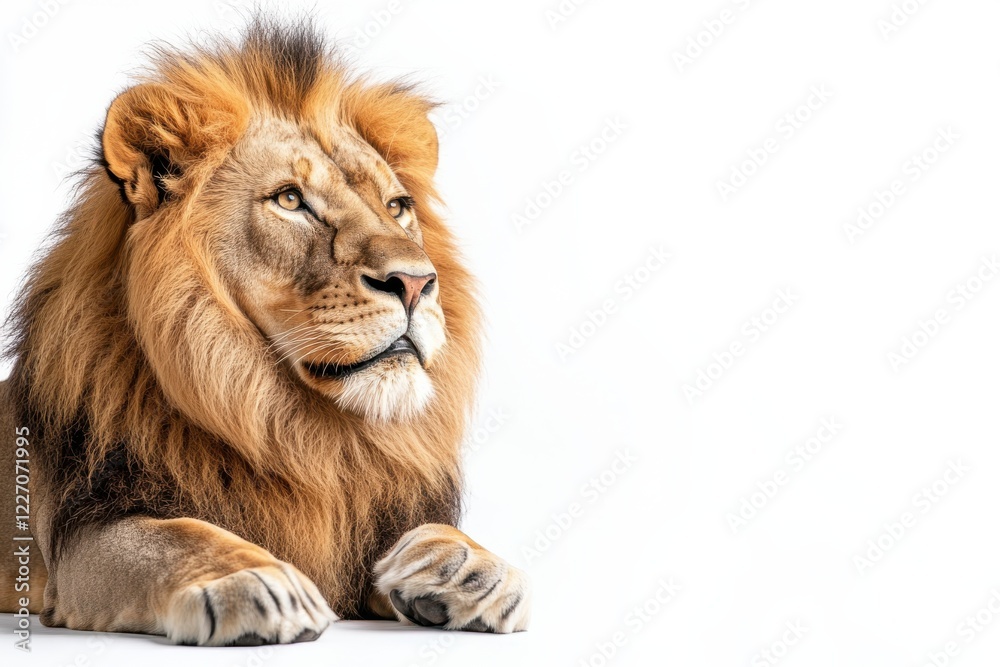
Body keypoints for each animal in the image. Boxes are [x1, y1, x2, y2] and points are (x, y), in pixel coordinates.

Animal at [0, 19, 530, 645]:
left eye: (398, 206)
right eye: (290, 200)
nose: (416, 282)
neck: (289, 425)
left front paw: (468, 568)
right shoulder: (80, 536)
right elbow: (176, 534)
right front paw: (256, 580)